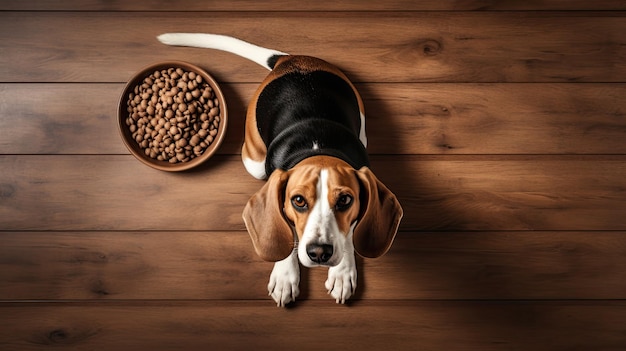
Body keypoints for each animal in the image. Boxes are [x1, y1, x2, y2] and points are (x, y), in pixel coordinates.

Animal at [158, 33, 402, 308]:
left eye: (345, 200)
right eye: (298, 201)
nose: (319, 253)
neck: (318, 148)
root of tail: (291, 60)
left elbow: (349, 233)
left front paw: (342, 272)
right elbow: (286, 231)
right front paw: (285, 276)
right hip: (254, 163)